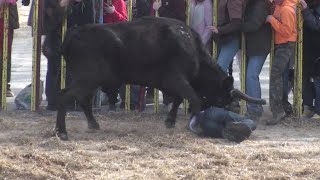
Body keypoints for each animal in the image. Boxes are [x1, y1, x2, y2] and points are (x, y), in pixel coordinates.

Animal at [55, 16, 264, 140]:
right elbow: (193, 99)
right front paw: (194, 124)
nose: (231, 110)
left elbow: (179, 99)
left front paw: (170, 121)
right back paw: (62, 132)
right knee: (65, 96)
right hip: (86, 80)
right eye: (222, 99)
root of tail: (73, 33)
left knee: (84, 100)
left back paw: (93, 124)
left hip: (89, 82)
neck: (191, 47)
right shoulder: (177, 79)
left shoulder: (170, 84)